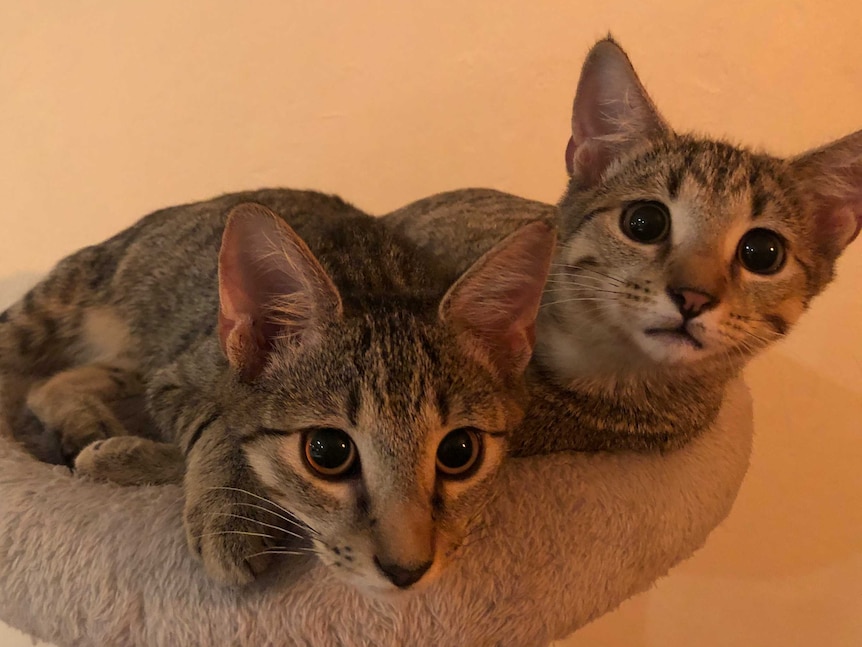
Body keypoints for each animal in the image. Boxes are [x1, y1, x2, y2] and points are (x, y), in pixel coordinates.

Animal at [0, 189, 552, 592]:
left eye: (460, 452)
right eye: (327, 452)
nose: (406, 571)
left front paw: (125, 457)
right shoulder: (179, 374)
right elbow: (221, 423)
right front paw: (228, 511)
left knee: (49, 384)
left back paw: (87, 426)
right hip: (56, 312)